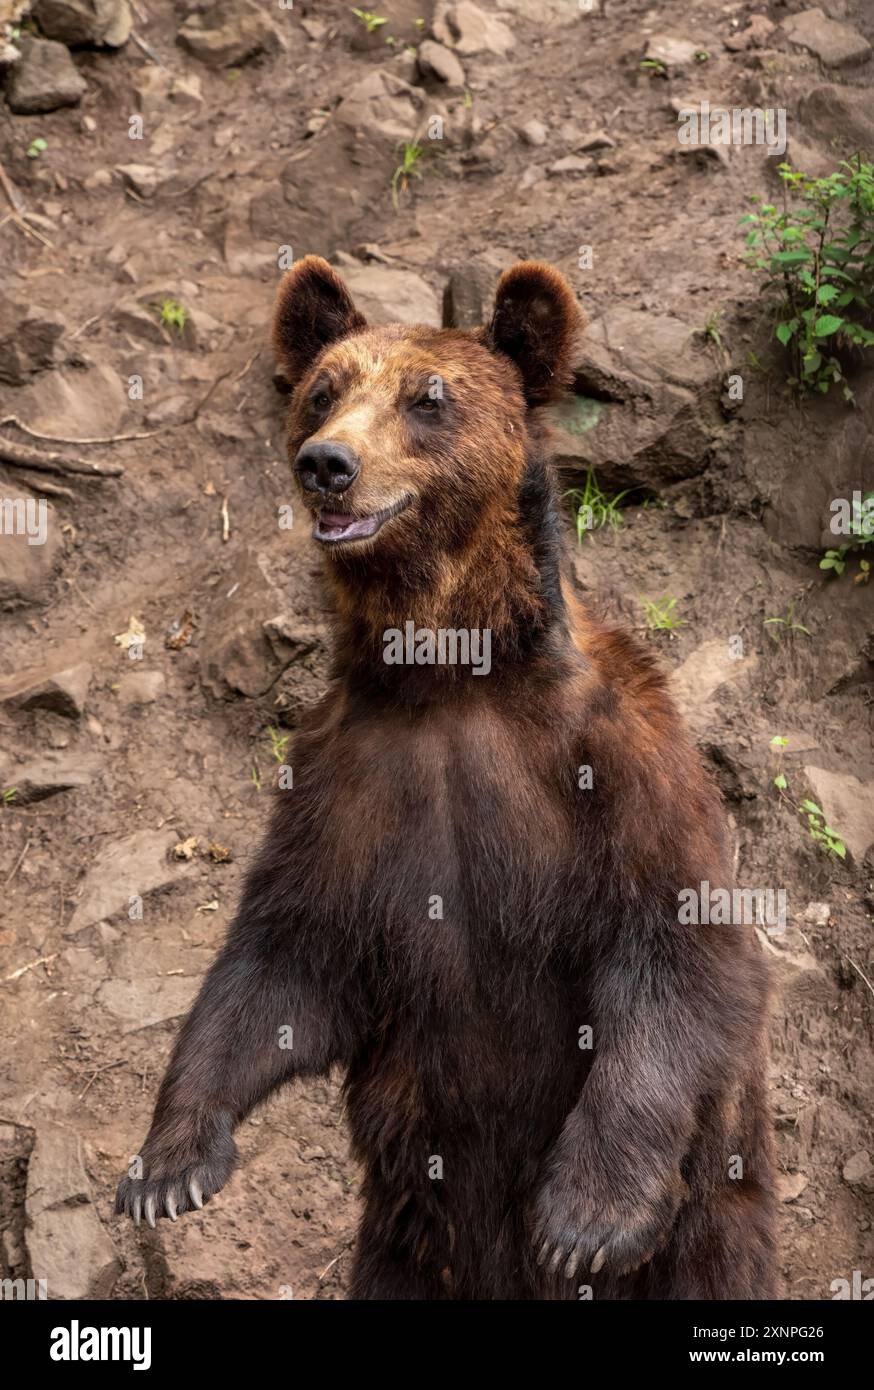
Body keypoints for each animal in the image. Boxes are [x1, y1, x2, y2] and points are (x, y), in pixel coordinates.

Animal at [117, 255, 778, 1295]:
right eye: (324, 391)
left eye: (428, 398)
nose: (328, 463)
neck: (452, 675)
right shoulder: (345, 782)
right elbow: (282, 962)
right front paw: (169, 1165)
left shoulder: (619, 761)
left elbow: (678, 949)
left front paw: (583, 1219)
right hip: (407, 1227)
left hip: (711, 1206)